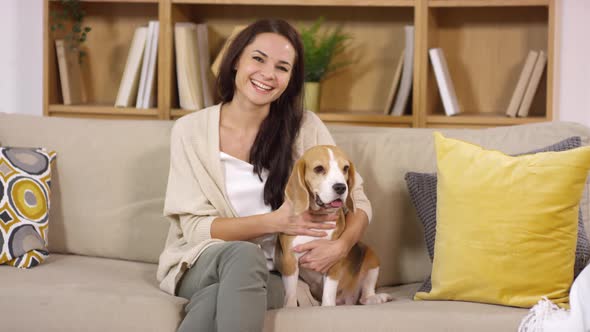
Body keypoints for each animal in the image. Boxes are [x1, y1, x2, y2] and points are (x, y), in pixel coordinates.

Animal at [276, 147, 394, 308]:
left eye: (345, 168)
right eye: (319, 169)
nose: (341, 187)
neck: (318, 221)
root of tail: (347, 300)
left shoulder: (333, 257)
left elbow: (328, 294)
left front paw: (327, 307)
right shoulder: (289, 260)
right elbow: (291, 294)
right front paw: (290, 307)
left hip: (372, 258)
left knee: (365, 296)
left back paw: (377, 298)